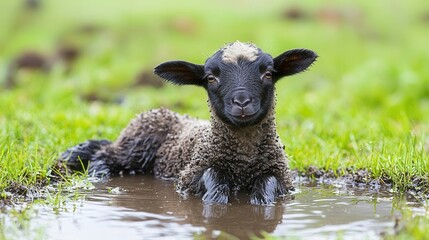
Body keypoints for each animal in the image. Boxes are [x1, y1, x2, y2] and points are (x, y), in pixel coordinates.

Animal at [58, 41, 316, 204]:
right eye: (211, 78)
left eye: (268, 74)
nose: (242, 101)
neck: (243, 158)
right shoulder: (188, 177)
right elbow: (213, 175)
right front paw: (216, 199)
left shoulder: (284, 178)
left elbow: (268, 182)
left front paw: (260, 199)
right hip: (134, 149)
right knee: (104, 154)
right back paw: (97, 171)